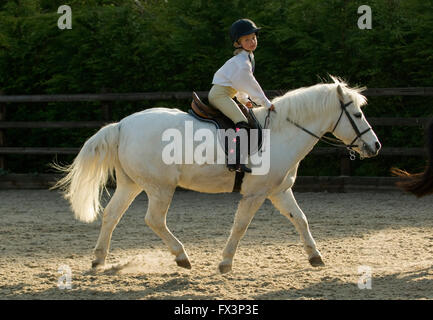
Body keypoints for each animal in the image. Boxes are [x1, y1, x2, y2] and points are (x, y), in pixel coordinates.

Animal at [54, 77, 382, 272]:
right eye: (356, 114)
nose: (375, 146)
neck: (280, 132)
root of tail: (122, 125)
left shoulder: (279, 191)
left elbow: (300, 219)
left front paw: (315, 257)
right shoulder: (255, 194)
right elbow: (240, 226)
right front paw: (225, 262)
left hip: (131, 184)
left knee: (111, 215)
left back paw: (98, 259)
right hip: (160, 187)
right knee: (154, 220)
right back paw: (182, 257)